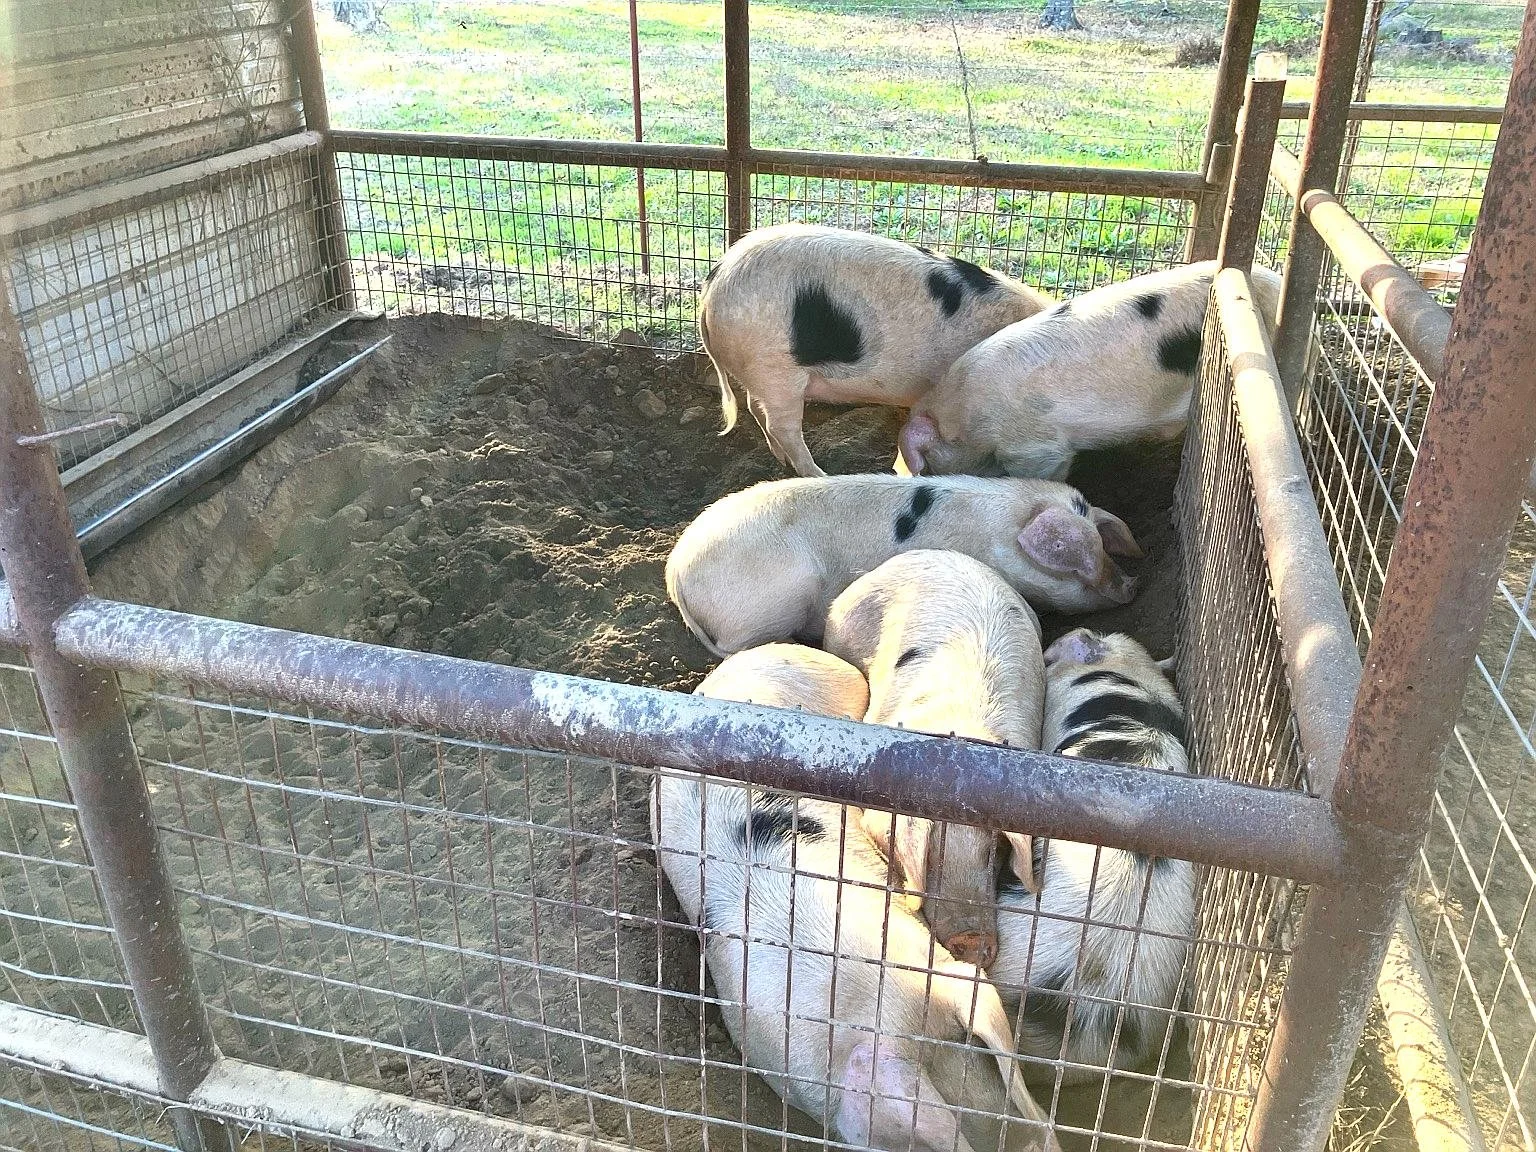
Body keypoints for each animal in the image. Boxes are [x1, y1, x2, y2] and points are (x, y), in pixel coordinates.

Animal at [665, 474, 1142, 658]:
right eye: (1078, 566)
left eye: (1105, 545)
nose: (1132, 585)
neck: (1003, 530)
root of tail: (675, 573)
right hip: (773, 599)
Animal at [698, 223, 1053, 478]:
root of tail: (715, 282)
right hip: (776, 368)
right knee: (781, 426)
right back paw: (819, 475)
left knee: (754, 406)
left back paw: (781, 460)